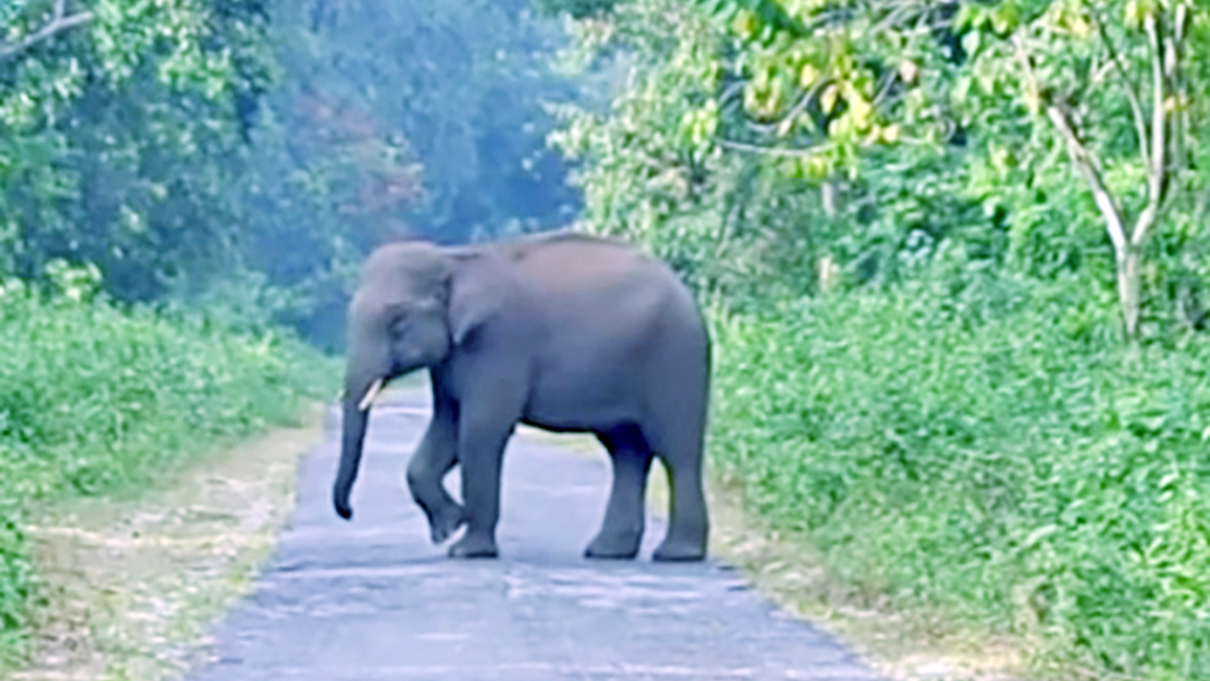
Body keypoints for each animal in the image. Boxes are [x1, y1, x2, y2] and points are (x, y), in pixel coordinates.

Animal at [331, 228, 706, 558]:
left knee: (675, 451)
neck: (454, 259)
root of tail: (688, 296)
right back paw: (608, 552)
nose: (348, 513)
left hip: (676, 358)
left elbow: (480, 430)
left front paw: (466, 551)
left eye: (397, 321)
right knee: (626, 452)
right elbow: (447, 426)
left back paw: (676, 555)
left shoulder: (500, 343)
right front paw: (450, 528)